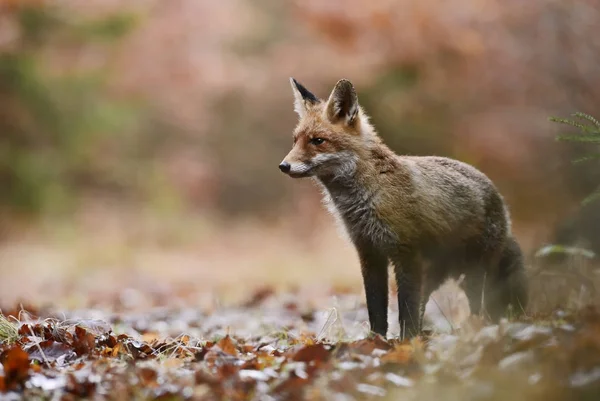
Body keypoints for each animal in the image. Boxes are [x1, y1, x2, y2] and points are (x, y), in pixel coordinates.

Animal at [278, 77, 528, 338]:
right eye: (295, 140)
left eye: (318, 141)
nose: (284, 166)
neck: (366, 201)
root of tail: (496, 193)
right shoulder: (369, 253)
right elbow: (376, 307)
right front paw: (377, 340)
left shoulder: (407, 253)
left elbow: (406, 306)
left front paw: (406, 341)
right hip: (436, 274)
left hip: (473, 273)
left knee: (479, 308)